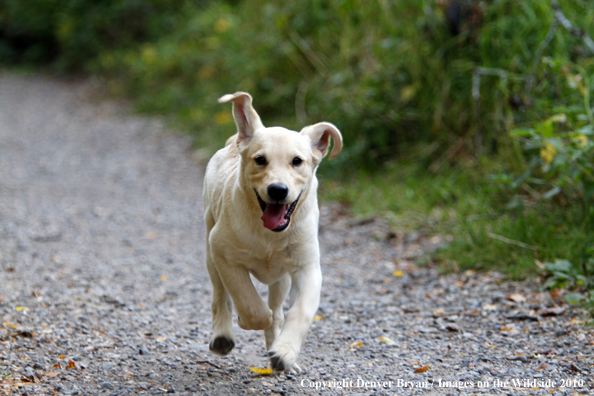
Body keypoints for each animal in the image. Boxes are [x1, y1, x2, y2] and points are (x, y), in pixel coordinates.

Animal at [204, 92, 342, 372]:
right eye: (260, 160)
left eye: (297, 161)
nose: (278, 190)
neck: (269, 235)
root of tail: (234, 142)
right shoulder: (223, 253)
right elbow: (247, 301)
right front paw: (248, 320)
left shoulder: (307, 267)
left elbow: (299, 311)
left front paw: (285, 352)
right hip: (210, 249)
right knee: (220, 294)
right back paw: (222, 336)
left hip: (281, 278)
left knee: (277, 310)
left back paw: (276, 350)